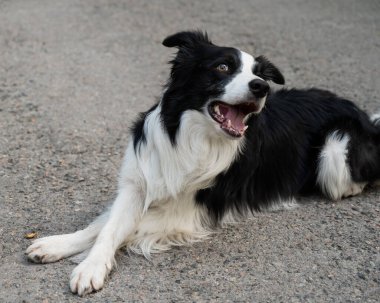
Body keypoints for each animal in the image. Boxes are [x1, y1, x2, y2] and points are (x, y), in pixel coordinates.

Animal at [26, 31, 380, 296]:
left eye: (257, 74)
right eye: (222, 67)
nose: (262, 87)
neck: (192, 137)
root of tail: (365, 115)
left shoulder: (189, 212)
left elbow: (125, 226)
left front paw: (88, 266)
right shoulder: (138, 183)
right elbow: (106, 225)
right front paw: (60, 246)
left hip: (336, 150)